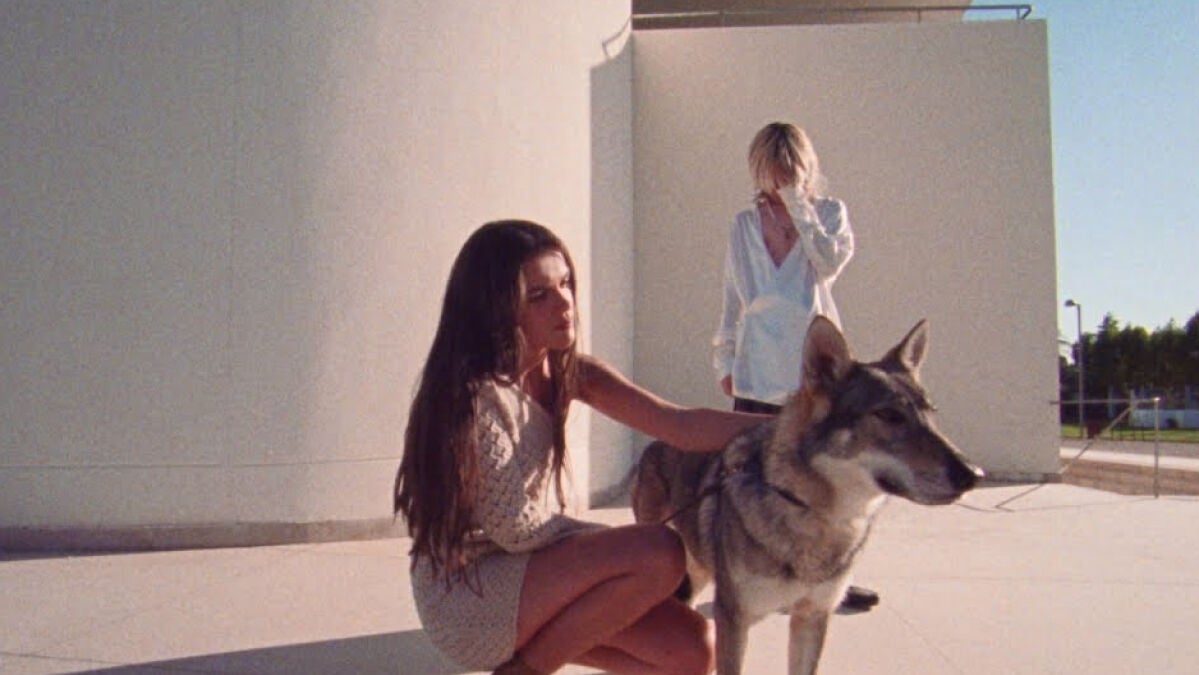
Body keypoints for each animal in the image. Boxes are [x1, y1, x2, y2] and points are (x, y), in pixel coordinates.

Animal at [633, 316, 982, 675]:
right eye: (889, 416)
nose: (973, 475)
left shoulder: (812, 616)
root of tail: (654, 442)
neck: (817, 515)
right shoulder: (733, 620)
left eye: (932, 413)